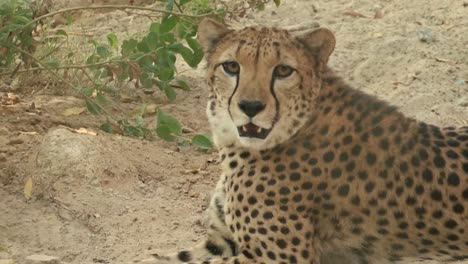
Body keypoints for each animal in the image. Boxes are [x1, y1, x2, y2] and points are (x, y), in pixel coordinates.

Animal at [138, 19, 468, 264]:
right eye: (231, 67)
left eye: (283, 70)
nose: (250, 106)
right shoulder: (221, 241)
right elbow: (155, 258)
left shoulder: (277, 257)